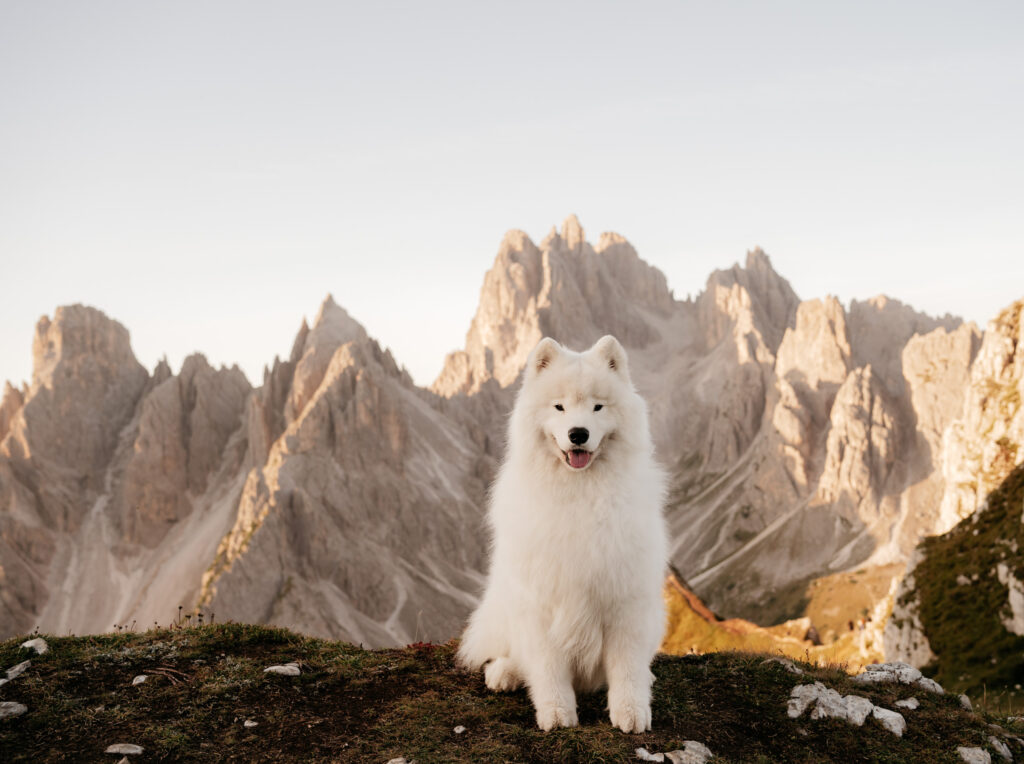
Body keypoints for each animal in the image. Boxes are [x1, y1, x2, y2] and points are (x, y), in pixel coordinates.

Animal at [458, 333, 667, 733]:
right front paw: (556, 713)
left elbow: (627, 666)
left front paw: (631, 711)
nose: (578, 433)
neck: (579, 493)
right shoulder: (541, 599)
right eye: (559, 407)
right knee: (513, 652)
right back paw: (505, 672)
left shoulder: (625, 597)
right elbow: (547, 666)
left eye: (598, 407)